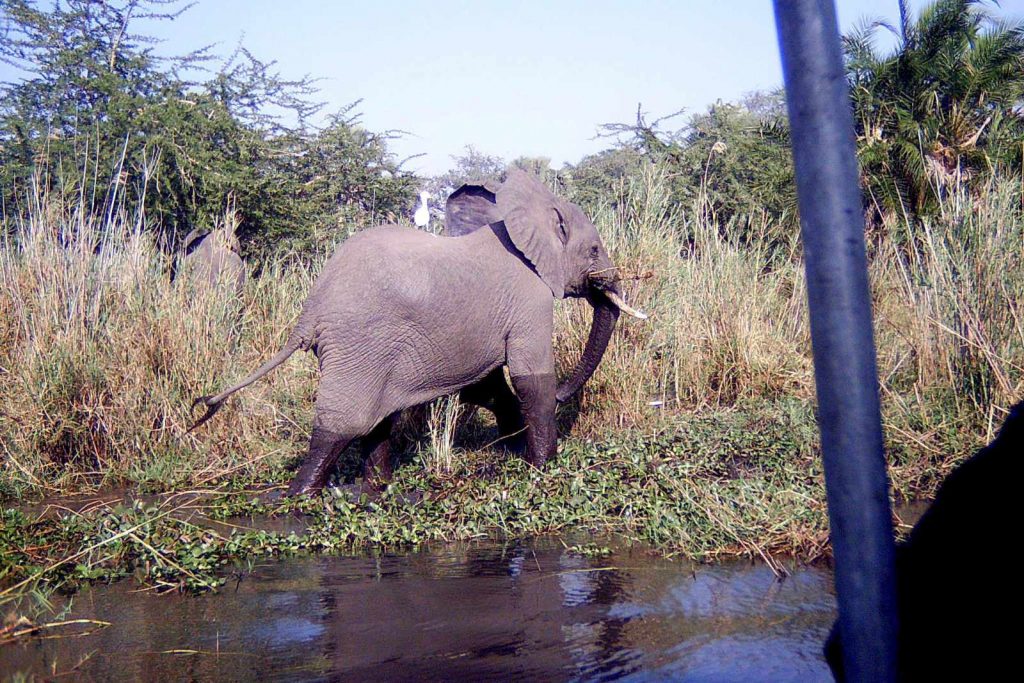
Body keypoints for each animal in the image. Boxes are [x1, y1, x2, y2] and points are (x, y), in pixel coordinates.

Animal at [190, 169, 645, 496]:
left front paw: (515, 450)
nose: (567, 396)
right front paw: (542, 466)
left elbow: (486, 385)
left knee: (376, 419)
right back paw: (298, 498)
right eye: (593, 251)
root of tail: (311, 311)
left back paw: (375, 489)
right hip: (359, 341)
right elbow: (530, 377)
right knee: (343, 423)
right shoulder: (529, 300)